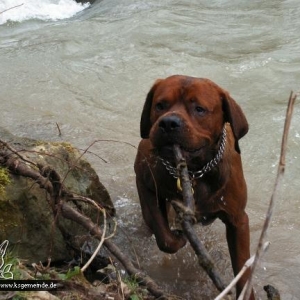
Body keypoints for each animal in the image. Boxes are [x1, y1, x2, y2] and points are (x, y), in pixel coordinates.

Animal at [135, 74, 254, 298]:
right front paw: (178, 238)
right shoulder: (145, 183)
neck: (193, 172)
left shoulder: (238, 220)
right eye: (160, 105)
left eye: (199, 109)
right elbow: (164, 236)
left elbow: (243, 269)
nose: (169, 123)